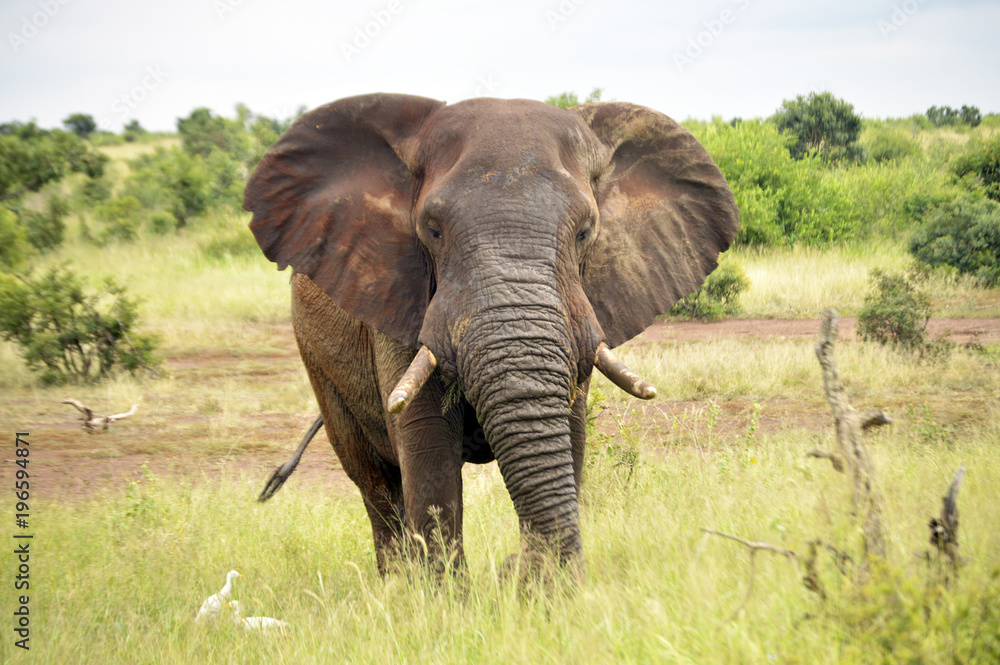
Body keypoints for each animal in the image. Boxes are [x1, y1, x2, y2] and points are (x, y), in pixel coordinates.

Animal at [245, 93, 740, 576]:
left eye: (585, 232)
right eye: (433, 231)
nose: (511, 566)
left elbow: (571, 434)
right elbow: (427, 452)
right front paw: (446, 600)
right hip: (315, 354)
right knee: (375, 484)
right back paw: (395, 586)